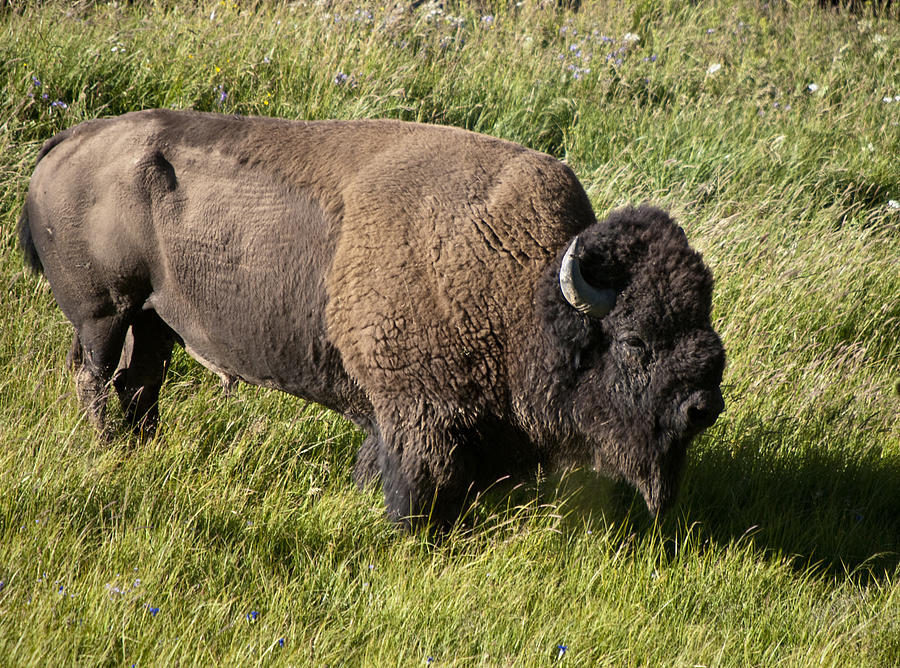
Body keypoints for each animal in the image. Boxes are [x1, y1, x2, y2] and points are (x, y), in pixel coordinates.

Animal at [19, 109, 724, 524]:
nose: (704, 406)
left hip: (153, 320)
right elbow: (415, 480)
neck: (525, 286)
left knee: (140, 382)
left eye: (705, 324)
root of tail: (65, 143)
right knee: (94, 377)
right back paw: (106, 447)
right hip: (103, 313)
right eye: (634, 341)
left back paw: (140, 448)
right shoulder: (418, 413)